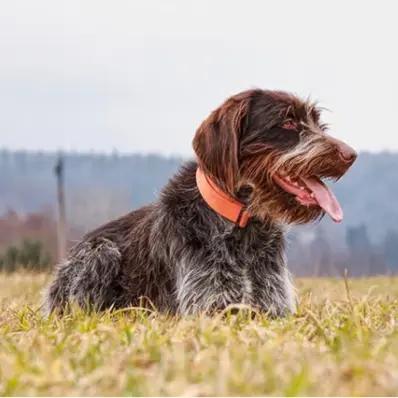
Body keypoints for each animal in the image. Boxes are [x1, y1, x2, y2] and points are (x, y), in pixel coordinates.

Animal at [45, 88, 356, 316]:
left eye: (319, 124)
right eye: (288, 122)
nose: (351, 155)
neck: (242, 226)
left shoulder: (274, 307)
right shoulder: (210, 306)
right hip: (100, 252)